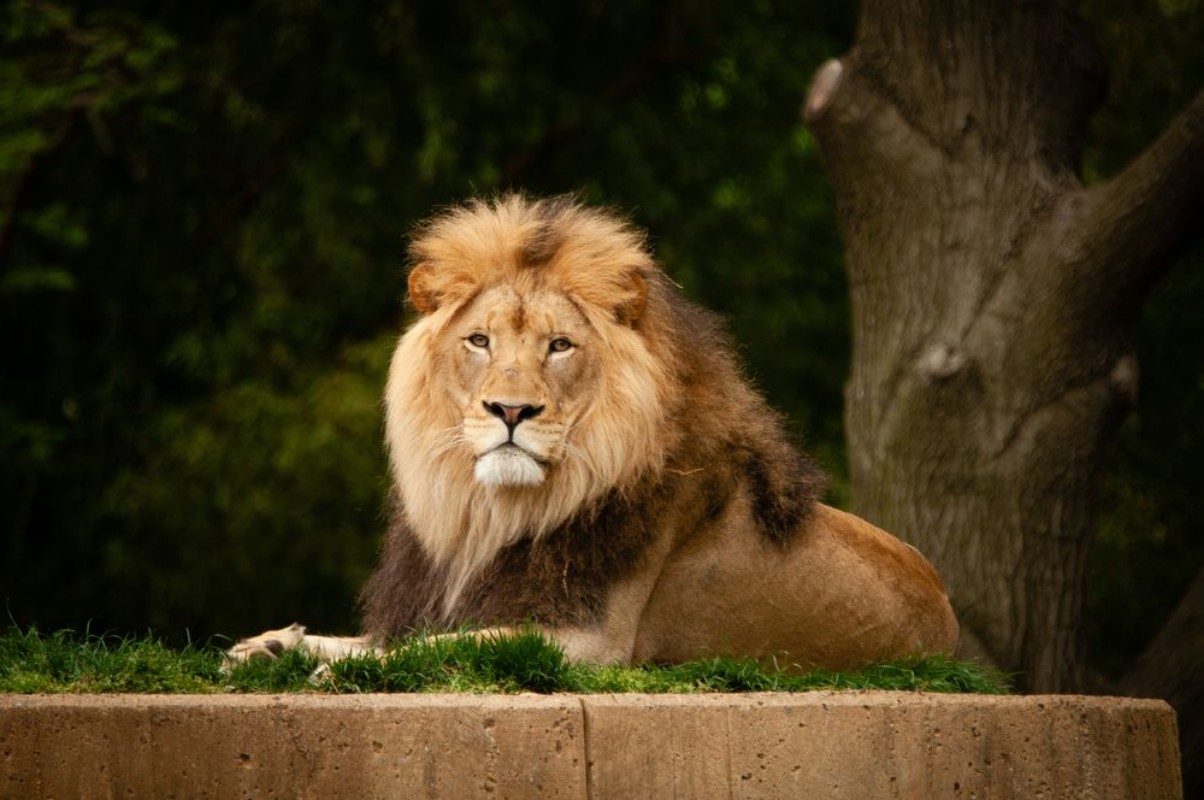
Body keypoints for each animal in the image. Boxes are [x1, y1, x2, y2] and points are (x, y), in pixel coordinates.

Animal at [227, 193, 958, 671]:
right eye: (479, 340)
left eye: (559, 346)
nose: (510, 411)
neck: (492, 513)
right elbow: (390, 637)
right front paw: (272, 645)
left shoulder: (586, 643)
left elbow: (423, 650)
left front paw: (333, 669)